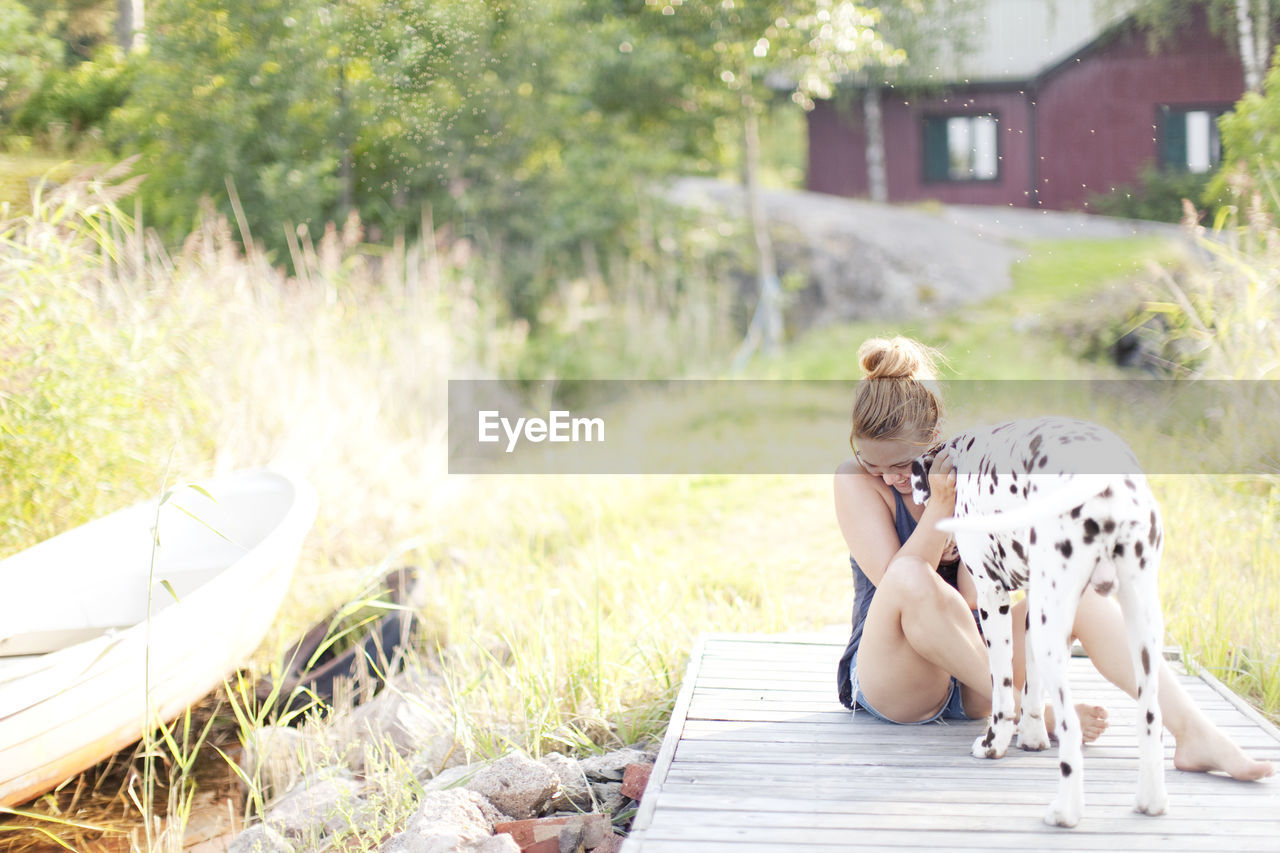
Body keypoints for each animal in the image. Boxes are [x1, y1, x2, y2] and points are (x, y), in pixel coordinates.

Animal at [911, 414, 1172, 824]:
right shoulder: (1036, 604)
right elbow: (1031, 686)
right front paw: (1033, 737)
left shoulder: (993, 598)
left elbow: (1003, 692)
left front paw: (995, 744)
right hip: (1138, 626)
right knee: (1150, 717)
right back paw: (1152, 800)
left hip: (1057, 629)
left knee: (1071, 726)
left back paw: (1065, 811)